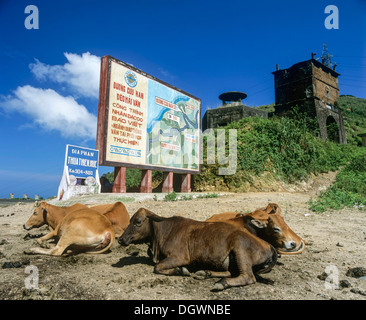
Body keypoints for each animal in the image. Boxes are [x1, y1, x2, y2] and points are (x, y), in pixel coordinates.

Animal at [119, 209, 278, 292]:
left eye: (138, 222)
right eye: (129, 220)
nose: (120, 239)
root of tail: (268, 245)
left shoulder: (180, 257)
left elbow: (157, 267)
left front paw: (181, 270)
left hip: (240, 250)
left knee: (248, 277)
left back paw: (221, 283)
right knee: (230, 272)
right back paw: (205, 273)